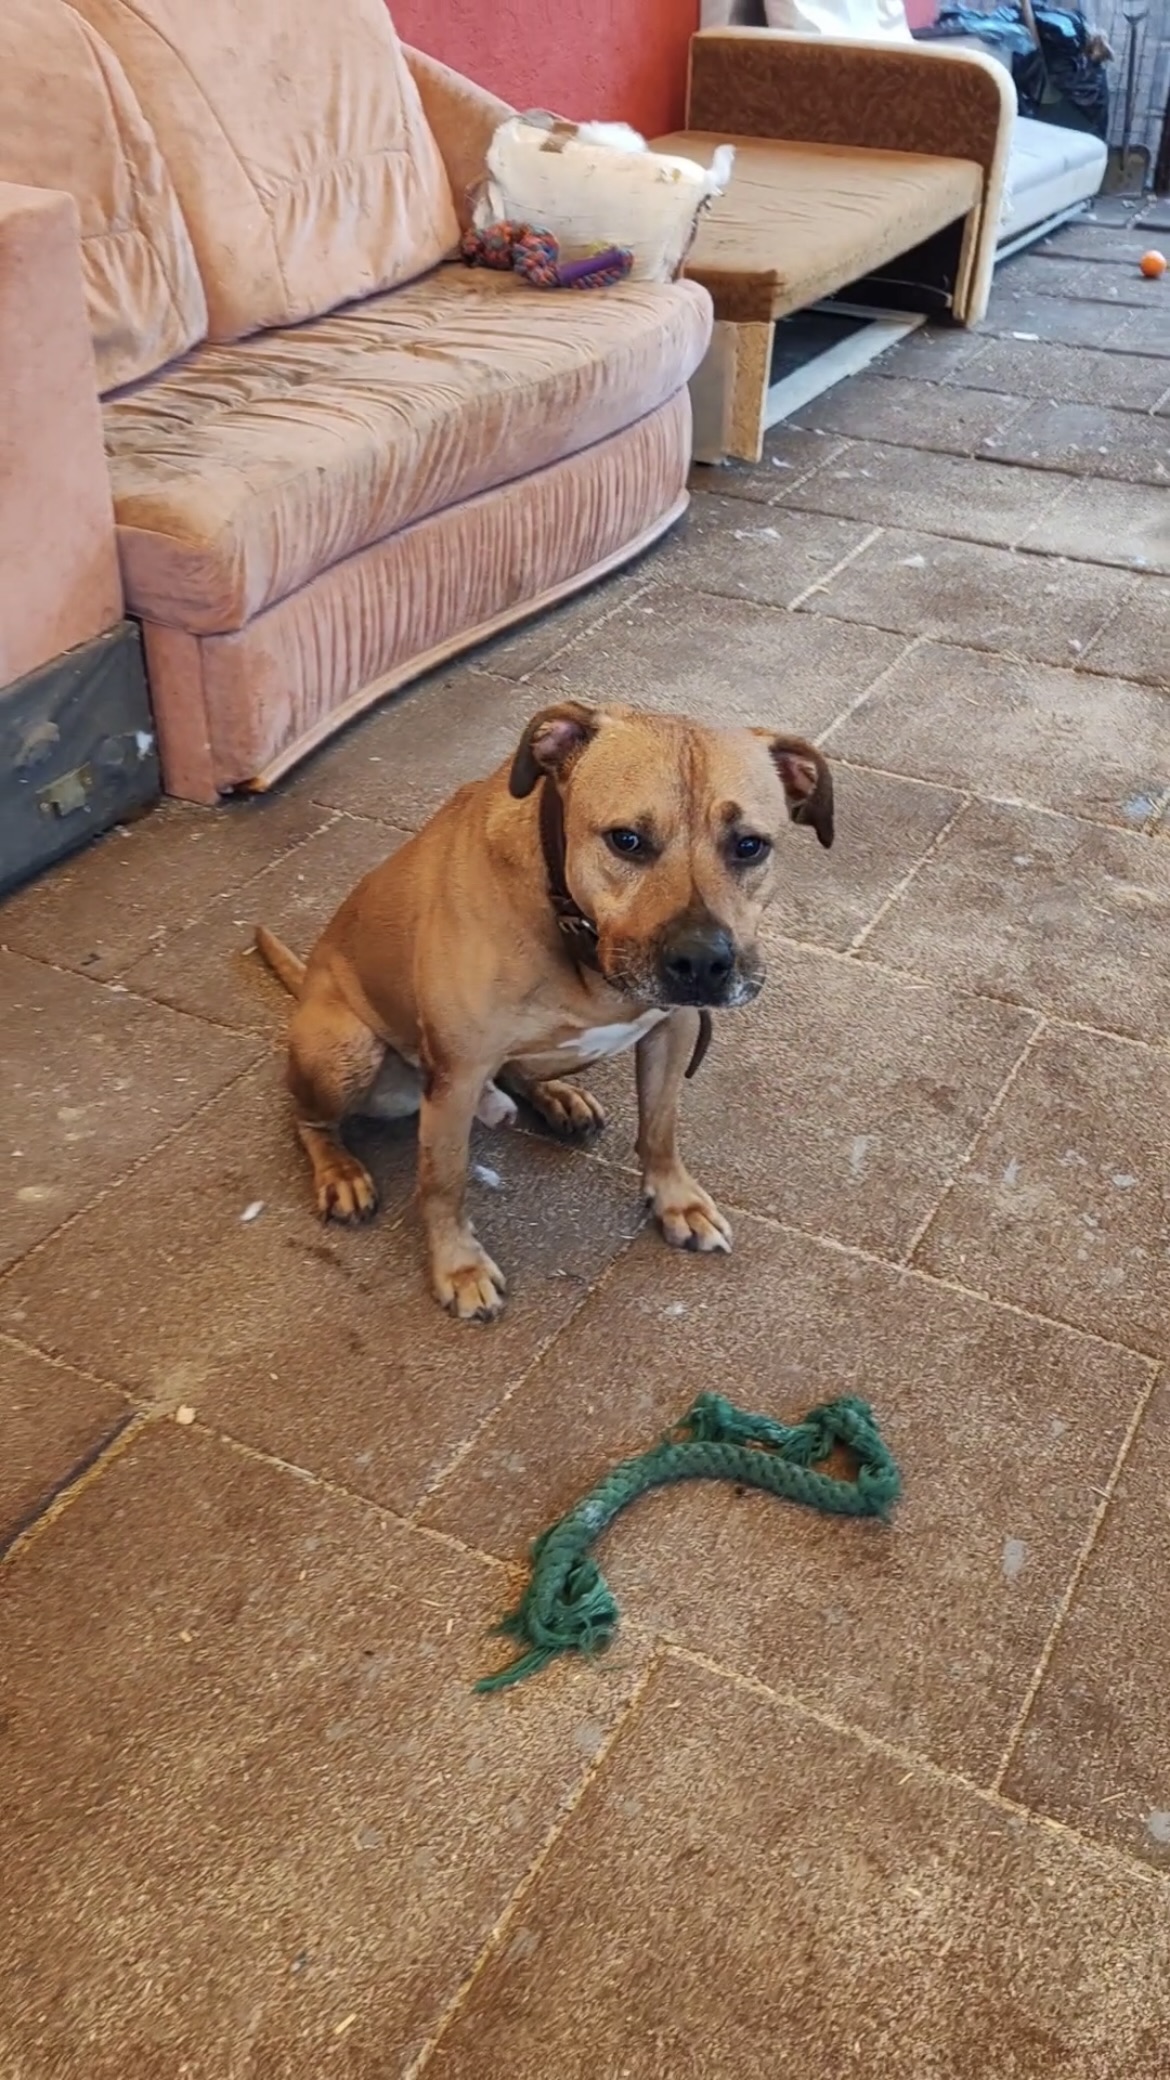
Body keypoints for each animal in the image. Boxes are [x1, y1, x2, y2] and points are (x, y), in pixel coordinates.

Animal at [256, 701, 832, 1323]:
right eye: (626, 840)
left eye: (749, 846)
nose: (702, 962)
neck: (573, 927)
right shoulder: (457, 1077)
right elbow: (443, 1181)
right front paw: (459, 1267)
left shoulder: (672, 1029)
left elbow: (661, 1126)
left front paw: (676, 1200)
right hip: (346, 1050)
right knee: (308, 1118)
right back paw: (340, 1171)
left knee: (519, 1072)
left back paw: (556, 1097)